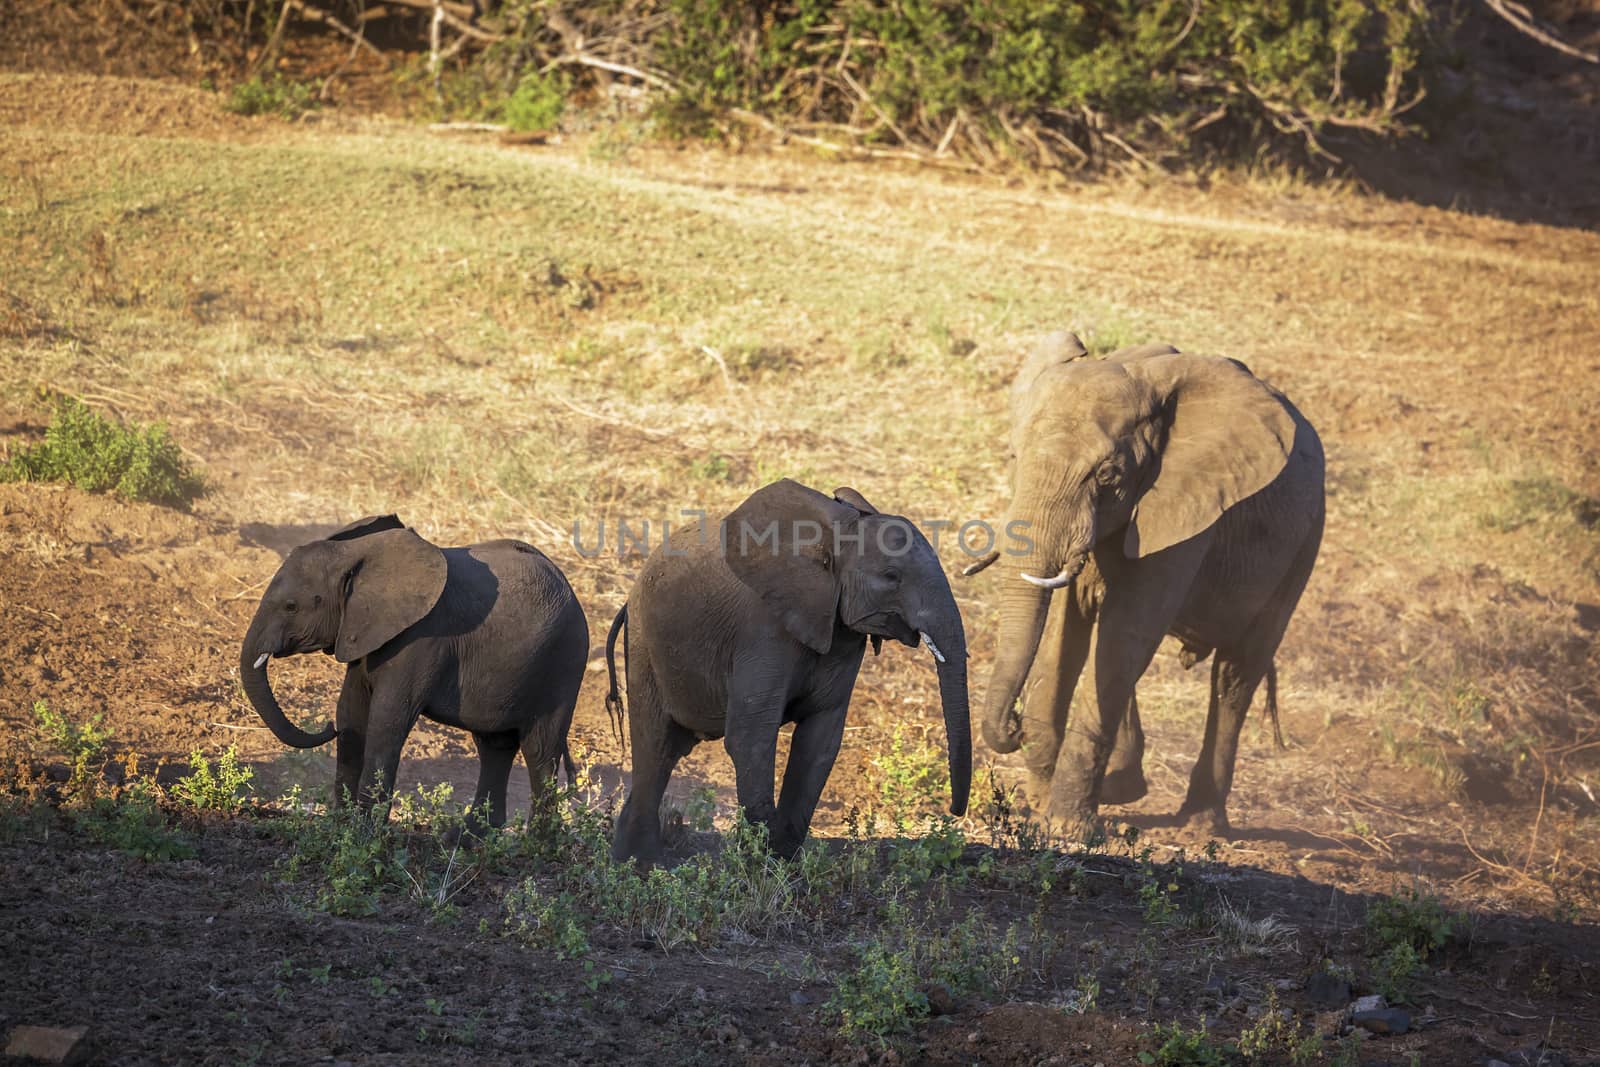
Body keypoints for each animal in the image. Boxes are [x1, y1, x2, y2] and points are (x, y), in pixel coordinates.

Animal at [236, 511, 588, 831]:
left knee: (540, 749)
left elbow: (387, 719)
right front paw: (339, 827)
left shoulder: (423, 639)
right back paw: (465, 840)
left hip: (563, 664)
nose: (324, 728)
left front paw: (363, 834)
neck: (355, 553)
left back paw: (537, 845)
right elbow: (350, 711)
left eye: (291, 606)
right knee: (495, 747)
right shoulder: (363, 633)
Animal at [601, 479, 966, 863]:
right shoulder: (763, 629)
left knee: (667, 751)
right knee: (656, 746)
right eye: (891, 576)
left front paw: (783, 863)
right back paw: (641, 865)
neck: (837, 534)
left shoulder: (841, 634)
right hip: (644, 645)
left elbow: (820, 739)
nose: (954, 811)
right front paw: (760, 863)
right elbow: (751, 738)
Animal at [972, 331, 1324, 831]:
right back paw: (1124, 787)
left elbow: (1127, 631)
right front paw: (1040, 806)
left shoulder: (1190, 505)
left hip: (1305, 541)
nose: (1014, 725)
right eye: (1014, 457)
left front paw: (1066, 828)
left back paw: (1200, 827)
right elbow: (1067, 630)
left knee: (1236, 675)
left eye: (1107, 475)